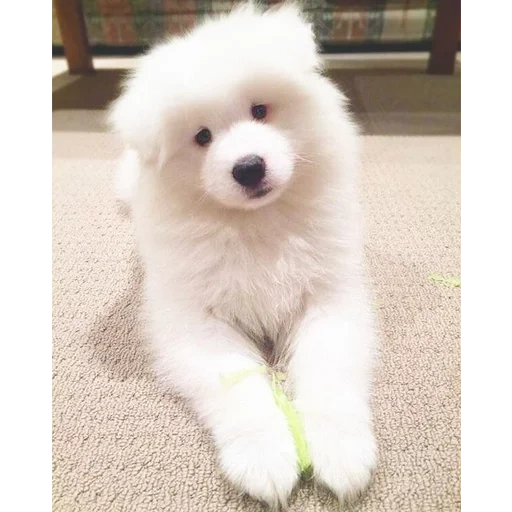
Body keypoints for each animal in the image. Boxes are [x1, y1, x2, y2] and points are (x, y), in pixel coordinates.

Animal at [109, 1, 376, 508]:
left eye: (260, 111)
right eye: (202, 137)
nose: (248, 167)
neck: (258, 225)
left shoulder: (329, 298)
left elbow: (328, 375)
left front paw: (342, 452)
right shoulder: (196, 322)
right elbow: (240, 390)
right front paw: (264, 459)